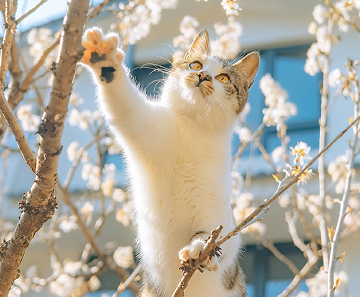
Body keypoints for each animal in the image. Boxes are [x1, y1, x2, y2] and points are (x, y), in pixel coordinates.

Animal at [80, 26, 258, 294]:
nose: (203, 76)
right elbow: (123, 107)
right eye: (196, 64)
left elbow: (217, 235)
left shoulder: (216, 208)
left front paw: (199, 249)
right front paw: (105, 60)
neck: (193, 131)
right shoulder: (146, 126)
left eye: (224, 79)